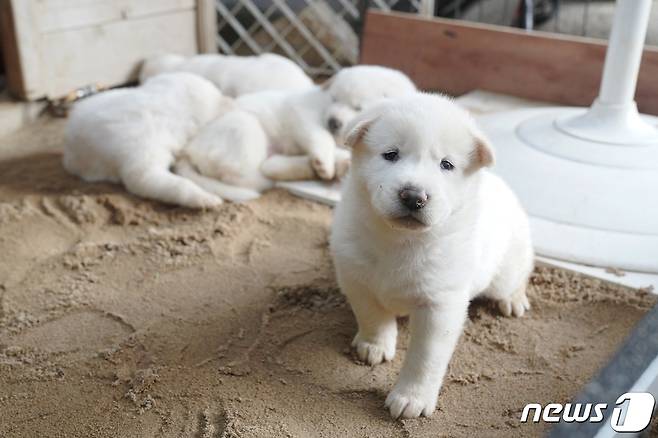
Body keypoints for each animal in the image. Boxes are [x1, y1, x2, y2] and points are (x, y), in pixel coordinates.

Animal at [328, 94, 532, 420]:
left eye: (446, 164)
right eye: (391, 154)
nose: (413, 197)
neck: (400, 241)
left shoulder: (440, 304)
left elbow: (425, 356)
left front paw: (411, 398)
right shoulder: (355, 277)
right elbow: (372, 315)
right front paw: (374, 345)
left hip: (506, 265)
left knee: (519, 273)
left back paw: (513, 299)